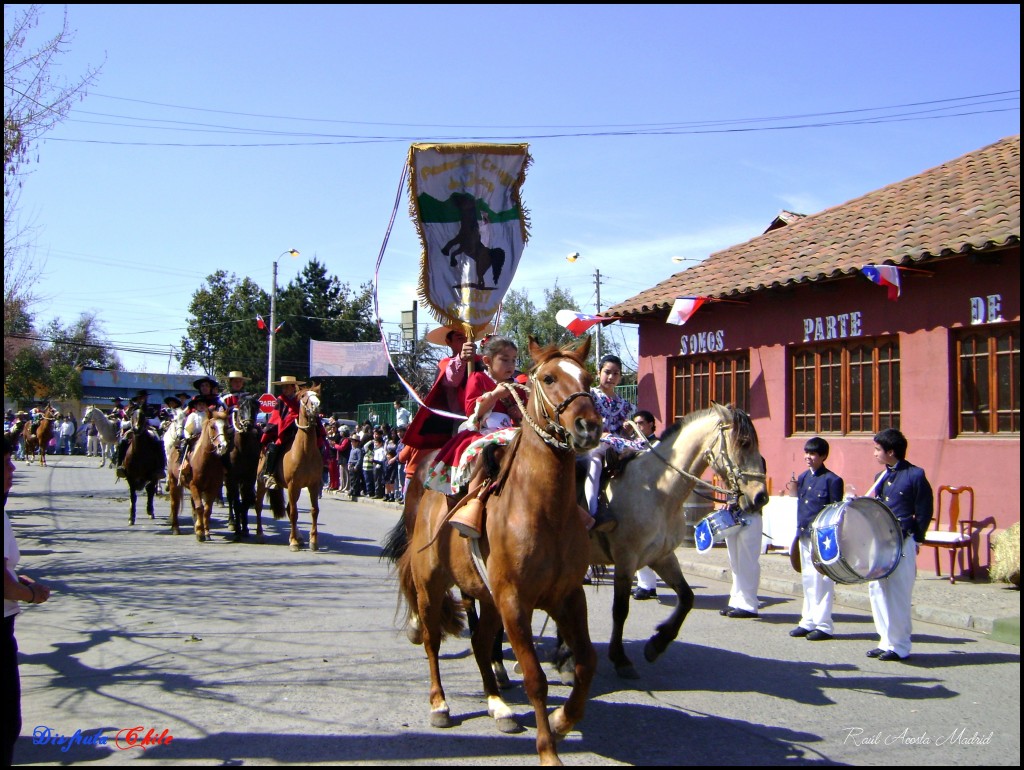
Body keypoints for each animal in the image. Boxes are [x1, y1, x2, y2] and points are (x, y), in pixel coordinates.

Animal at [253, 387, 321, 548]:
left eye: (317, 394)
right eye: (303, 396)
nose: (316, 405)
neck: (305, 451)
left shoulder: (313, 485)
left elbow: (314, 511)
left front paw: (313, 541)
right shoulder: (293, 485)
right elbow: (294, 513)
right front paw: (294, 542)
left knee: (289, 508)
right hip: (261, 483)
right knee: (258, 506)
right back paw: (260, 534)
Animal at [385, 335, 606, 765]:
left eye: (587, 378)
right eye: (549, 378)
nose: (588, 426)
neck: (543, 511)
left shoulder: (568, 596)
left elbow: (587, 663)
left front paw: (562, 721)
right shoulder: (515, 601)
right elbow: (535, 677)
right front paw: (548, 749)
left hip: (486, 597)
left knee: (480, 642)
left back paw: (497, 705)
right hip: (431, 585)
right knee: (434, 642)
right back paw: (439, 704)